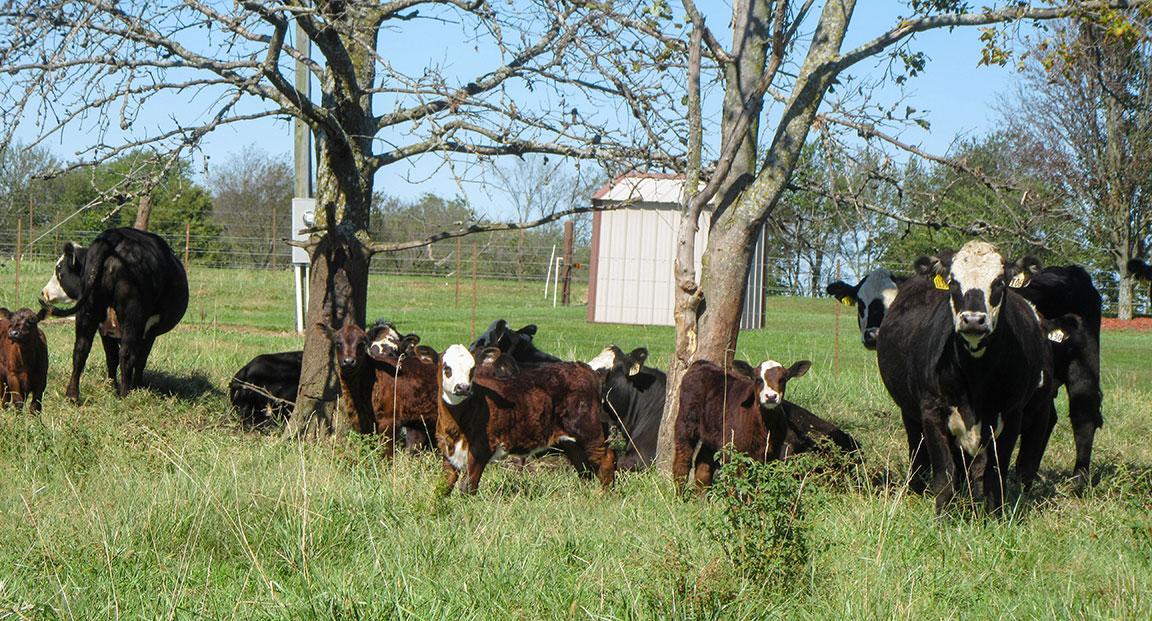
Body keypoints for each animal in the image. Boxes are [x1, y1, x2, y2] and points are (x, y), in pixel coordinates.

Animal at [41, 227, 188, 401]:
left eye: (59, 269)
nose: (44, 292)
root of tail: (114, 235)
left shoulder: (105, 328)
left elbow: (111, 357)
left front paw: (112, 386)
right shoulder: (148, 331)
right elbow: (140, 359)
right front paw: (137, 386)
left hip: (87, 312)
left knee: (81, 349)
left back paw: (72, 395)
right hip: (132, 317)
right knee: (127, 354)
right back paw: (124, 395)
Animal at [435, 345, 614, 494]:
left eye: (472, 369)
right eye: (446, 367)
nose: (463, 388)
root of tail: (583, 367)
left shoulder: (481, 448)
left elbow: (468, 486)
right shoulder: (448, 449)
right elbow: (445, 484)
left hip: (588, 431)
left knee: (606, 458)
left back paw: (605, 496)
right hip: (568, 441)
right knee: (583, 467)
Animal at [673, 358, 859, 495]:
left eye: (783, 379)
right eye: (757, 379)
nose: (771, 396)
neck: (763, 426)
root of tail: (702, 363)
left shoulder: (772, 455)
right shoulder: (735, 452)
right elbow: (739, 486)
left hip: (712, 435)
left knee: (703, 467)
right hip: (685, 425)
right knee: (682, 462)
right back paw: (679, 499)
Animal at [877, 241, 1056, 512]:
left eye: (1000, 283)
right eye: (953, 283)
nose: (973, 319)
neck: (976, 378)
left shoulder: (1011, 416)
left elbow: (995, 474)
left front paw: (995, 516)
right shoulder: (932, 412)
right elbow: (944, 474)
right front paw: (942, 517)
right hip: (910, 413)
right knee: (918, 452)